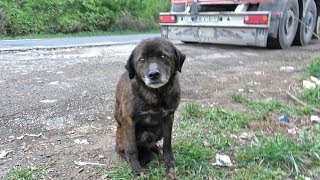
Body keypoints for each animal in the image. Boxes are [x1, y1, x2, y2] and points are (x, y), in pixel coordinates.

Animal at [114, 37, 185, 175]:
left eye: (163, 56)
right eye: (141, 60)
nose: (153, 74)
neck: (155, 94)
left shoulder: (169, 117)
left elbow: (167, 143)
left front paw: (169, 162)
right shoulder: (128, 121)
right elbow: (131, 148)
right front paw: (137, 169)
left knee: (152, 145)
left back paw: (156, 150)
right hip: (121, 132)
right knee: (123, 149)